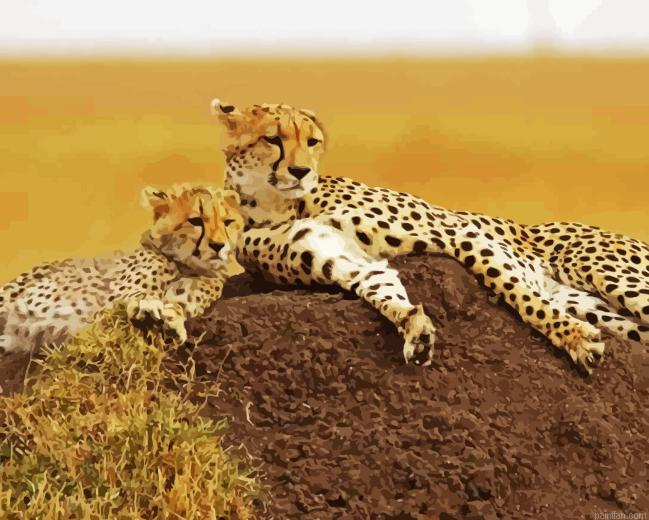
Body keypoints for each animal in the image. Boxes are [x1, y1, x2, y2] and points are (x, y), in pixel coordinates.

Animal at [0, 183, 243, 356]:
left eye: (228, 222)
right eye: (195, 220)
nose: (219, 246)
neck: (185, 264)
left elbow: (178, 305)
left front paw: (172, 322)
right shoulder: (106, 308)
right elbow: (138, 295)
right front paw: (147, 307)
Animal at [210, 98, 649, 374]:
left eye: (312, 141)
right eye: (272, 138)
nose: (301, 171)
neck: (279, 204)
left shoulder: (461, 232)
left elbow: (514, 290)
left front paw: (572, 337)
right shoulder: (346, 260)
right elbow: (379, 287)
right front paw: (414, 329)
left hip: (604, 272)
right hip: (601, 308)